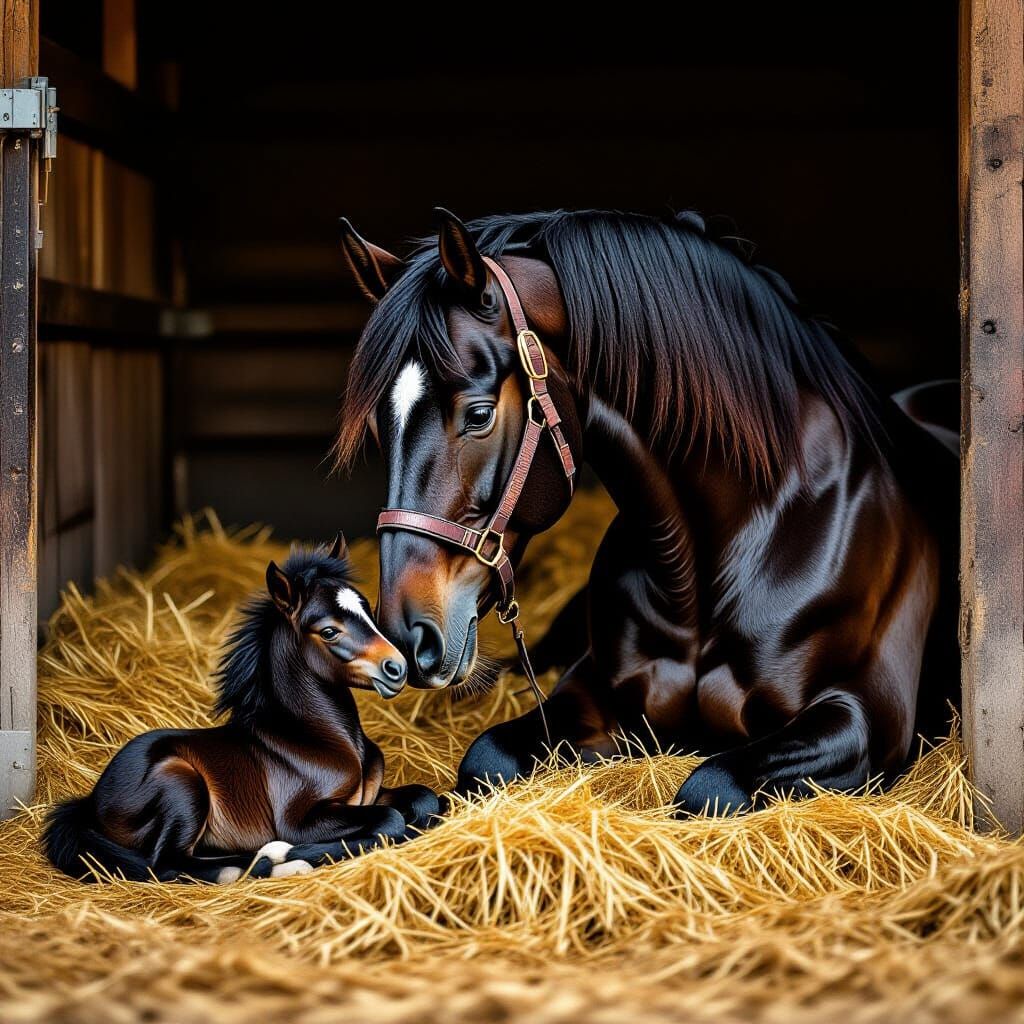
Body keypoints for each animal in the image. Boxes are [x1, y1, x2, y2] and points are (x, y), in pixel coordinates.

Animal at [43, 535, 440, 882]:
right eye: (329, 631)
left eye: (368, 611)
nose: (398, 667)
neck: (321, 740)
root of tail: (90, 803)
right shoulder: (300, 820)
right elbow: (390, 819)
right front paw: (291, 853)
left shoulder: (368, 797)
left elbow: (425, 800)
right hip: (181, 783)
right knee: (168, 863)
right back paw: (270, 862)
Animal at [333, 208, 958, 815]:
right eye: (379, 427)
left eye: (480, 414)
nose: (406, 635)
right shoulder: (595, 690)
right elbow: (488, 755)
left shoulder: (864, 718)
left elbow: (710, 787)